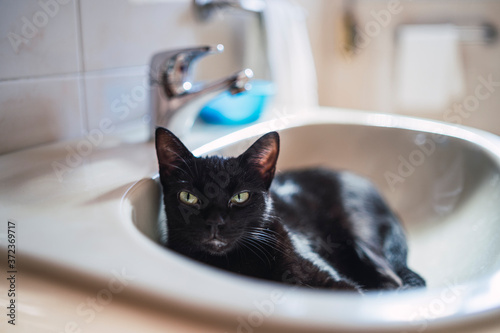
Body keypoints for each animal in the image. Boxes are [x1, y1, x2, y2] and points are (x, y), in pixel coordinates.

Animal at [156, 127, 426, 290]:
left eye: (240, 196)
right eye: (189, 197)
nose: (215, 222)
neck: (233, 264)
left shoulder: (339, 285)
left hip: (362, 241)